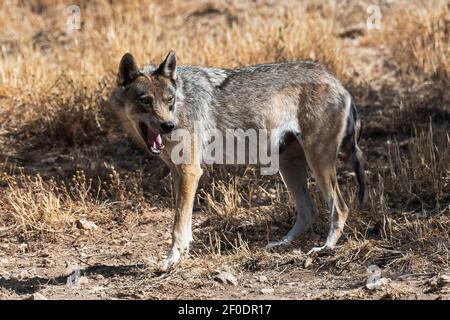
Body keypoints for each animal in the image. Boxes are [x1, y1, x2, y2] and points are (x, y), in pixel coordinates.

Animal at [110, 52, 370, 270]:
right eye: (146, 101)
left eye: (169, 100)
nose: (168, 126)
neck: (182, 104)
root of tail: (339, 84)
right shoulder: (178, 173)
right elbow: (184, 221)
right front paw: (183, 253)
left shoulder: (190, 171)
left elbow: (177, 226)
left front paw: (171, 259)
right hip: (288, 165)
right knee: (309, 210)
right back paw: (282, 244)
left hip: (318, 162)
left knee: (340, 207)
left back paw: (325, 248)